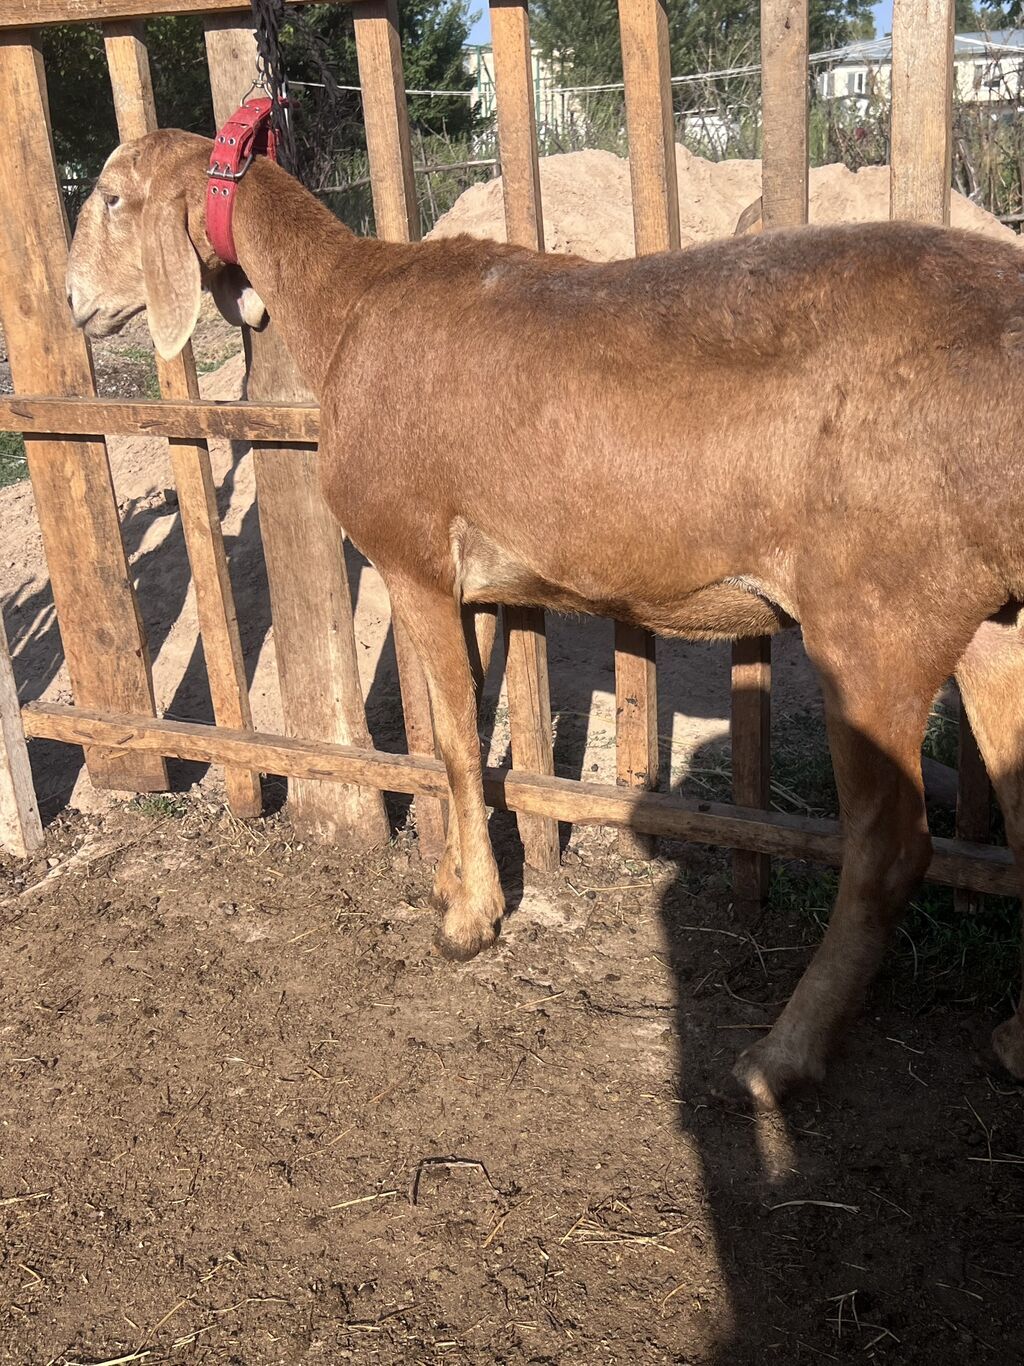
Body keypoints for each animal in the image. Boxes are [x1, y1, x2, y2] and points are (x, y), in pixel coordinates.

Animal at [66, 128, 1024, 1108]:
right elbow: (471, 728)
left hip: (875, 617)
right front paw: (452, 880)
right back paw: (1013, 1041)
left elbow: (452, 742)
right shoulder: (479, 586)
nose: (73, 302)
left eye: (109, 197)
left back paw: (779, 1057)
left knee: (889, 849)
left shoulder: (412, 555)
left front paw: (469, 922)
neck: (347, 306)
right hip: (989, 620)